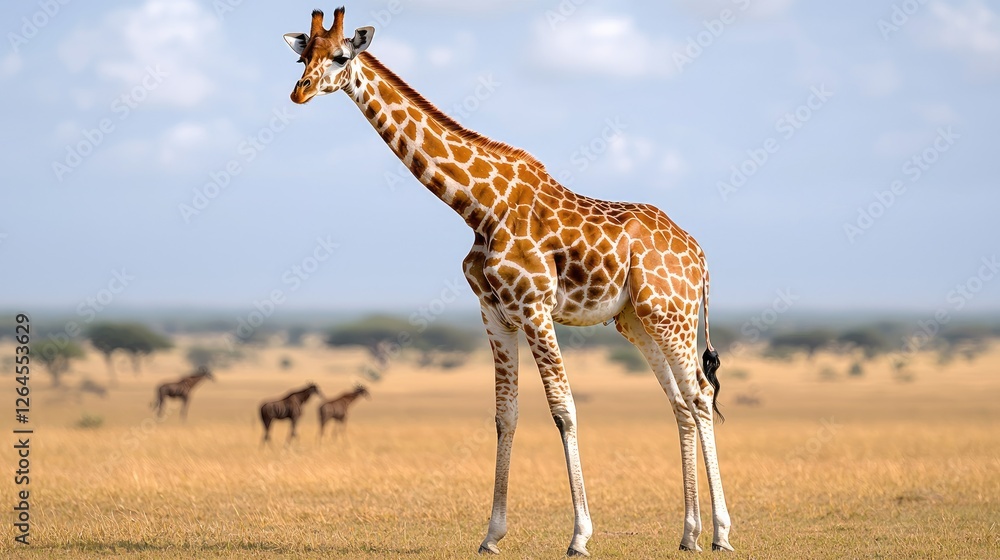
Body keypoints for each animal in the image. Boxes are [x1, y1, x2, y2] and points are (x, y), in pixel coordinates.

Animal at [283, 7, 732, 556]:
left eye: (342, 56)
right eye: (303, 57)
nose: (300, 91)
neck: (478, 206)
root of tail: (700, 256)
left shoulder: (535, 307)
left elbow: (563, 409)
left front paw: (579, 535)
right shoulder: (495, 313)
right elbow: (506, 414)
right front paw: (492, 535)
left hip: (671, 314)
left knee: (700, 395)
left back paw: (721, 532)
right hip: (639, 321)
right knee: (681, 403)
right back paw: (689, 533)